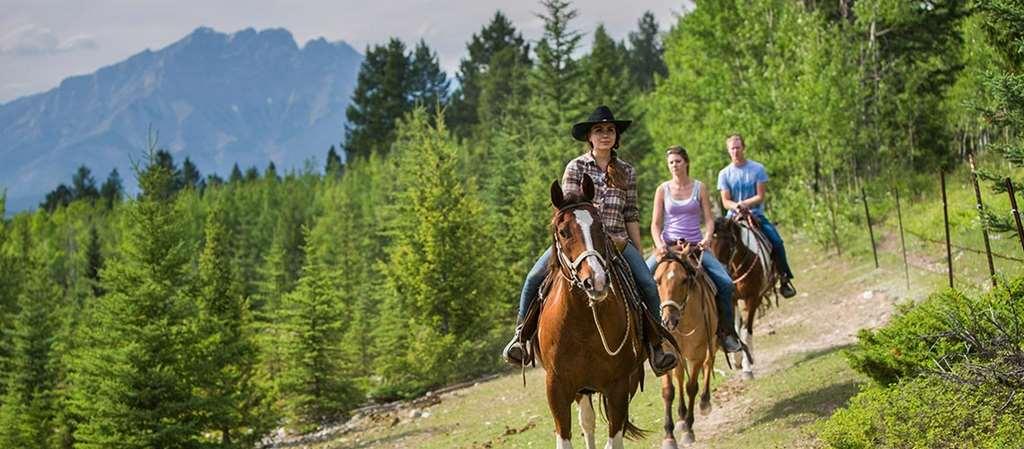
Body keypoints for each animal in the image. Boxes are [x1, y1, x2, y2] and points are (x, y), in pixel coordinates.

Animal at [540, 175, 643, 449]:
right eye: (563, 232)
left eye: (600, 227)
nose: (595, 281)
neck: (583, 323)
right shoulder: (557, 387)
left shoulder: (618, 385)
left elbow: (615, 437)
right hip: (582, 389)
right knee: (587, 421)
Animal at [651, 243, 716, 446]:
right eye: (657, 281)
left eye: (684, 280)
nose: (668, 320)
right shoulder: (666, 355)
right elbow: (668, 391)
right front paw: (669, 436)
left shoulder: (697, 354)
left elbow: (691, 387)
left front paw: (689, 430)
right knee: (679, 377)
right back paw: (680, 417)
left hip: (712, 342)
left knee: (709, 363)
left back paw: (704, 403)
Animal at [716, 213, 770, 379]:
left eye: (730, 243)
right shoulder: (732, 299)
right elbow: (735, 327)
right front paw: (737, 359)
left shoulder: (751, 298)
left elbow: (746, 331)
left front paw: (747, 367)